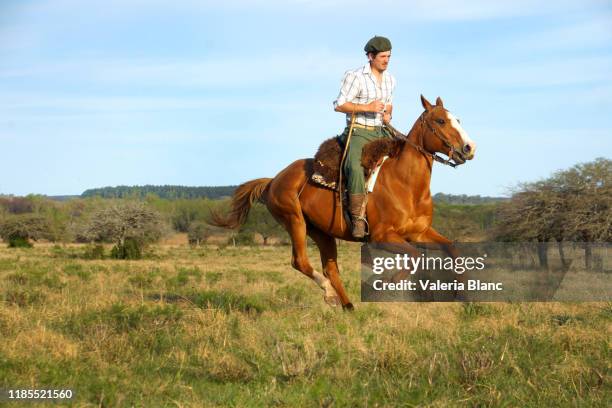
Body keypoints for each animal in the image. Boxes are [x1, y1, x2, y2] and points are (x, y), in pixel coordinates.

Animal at [213, 96, 476, 310]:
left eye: (457, 119)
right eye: (440, 121)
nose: (469, 148)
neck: (406, 183)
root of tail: (274, 180)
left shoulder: (419, 233)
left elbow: (452, 250)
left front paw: (460, 293)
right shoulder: (382, 236)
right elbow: (414, 256)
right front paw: (383, 280)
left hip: (322, 232)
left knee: (331, 268)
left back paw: (348, 306)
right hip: (294, 221)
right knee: (300, 261)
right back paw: (330, 294)